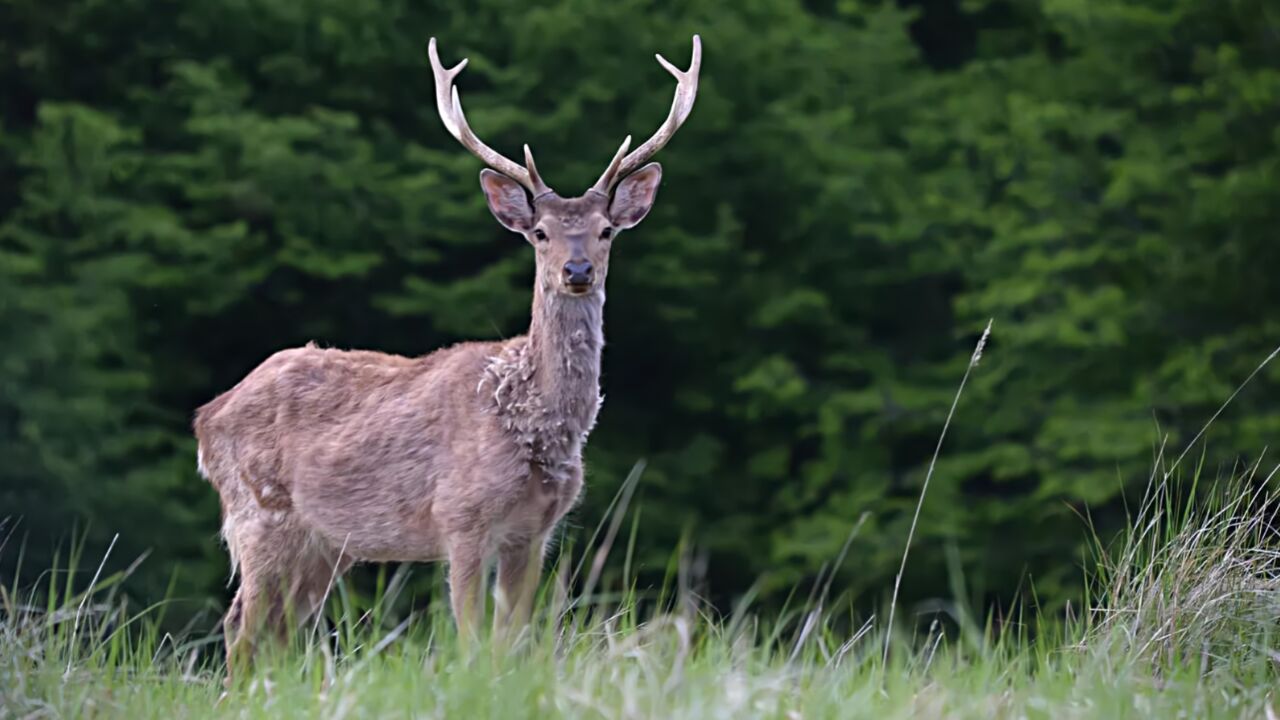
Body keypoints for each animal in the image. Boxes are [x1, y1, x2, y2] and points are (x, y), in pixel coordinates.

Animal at [194, 35, 706, 676]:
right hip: (258, 512)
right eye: (539, 231)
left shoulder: (535, 531)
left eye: (606, 230)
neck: (532, 422)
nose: (577, 270)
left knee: (276, 632)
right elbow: (470, 640)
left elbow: (515, 641)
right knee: (241, 627)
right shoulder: (460, 516)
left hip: (323, 542)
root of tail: (205, 417)